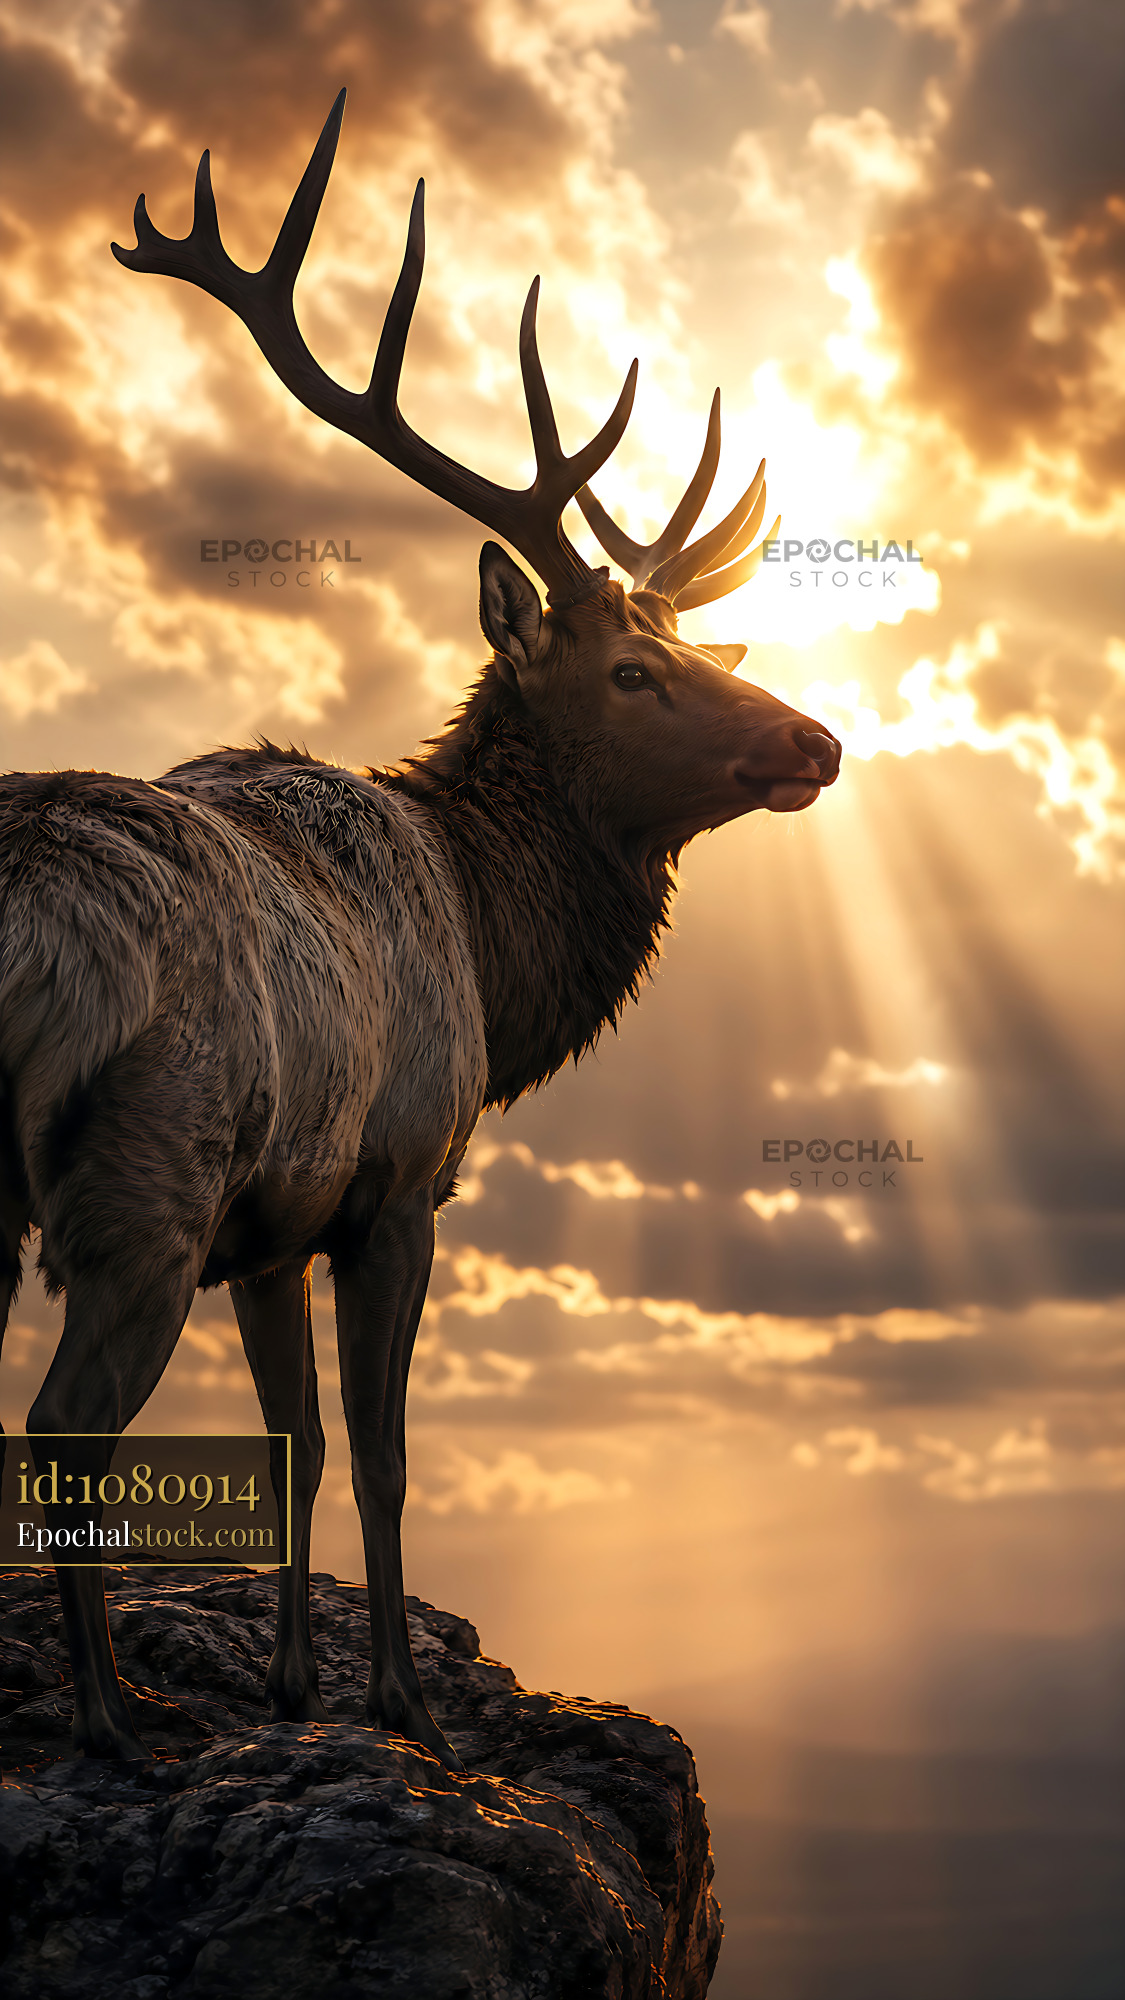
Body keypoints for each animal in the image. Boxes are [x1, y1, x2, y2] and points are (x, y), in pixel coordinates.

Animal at [0, 91, 840, 1766]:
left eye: (694, 651)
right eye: (631, 675)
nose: (817, 739)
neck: (490, 953)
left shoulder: (272, 1228)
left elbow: (298, 1439)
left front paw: (290, 1688)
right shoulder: (395, 1182)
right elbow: (383, 1448)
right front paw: (404, 1709)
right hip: (141, 1174)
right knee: (62, 1426)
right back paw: (116, 1720)